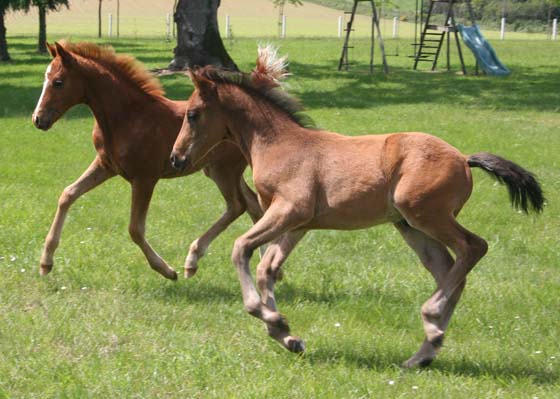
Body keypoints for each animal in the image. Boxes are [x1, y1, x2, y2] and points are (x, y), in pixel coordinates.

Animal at [32, 42, 262, 282]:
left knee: (238, 206)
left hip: (223, 170)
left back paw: (193, 260)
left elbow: (135, 229)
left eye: (58, 82)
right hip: (222, 171)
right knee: (253, 205)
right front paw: (45, 262)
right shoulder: (105, 165)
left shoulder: (145, 178)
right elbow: (67, 194)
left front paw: (166, 270)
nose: (38, 119)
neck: (126, 117)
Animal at [170, 47, 544, 368]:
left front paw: (273, 320)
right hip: (411, 226)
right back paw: (424, 352)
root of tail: (464, 158)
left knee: (473, 247)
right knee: (450, 270)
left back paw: (432, 317)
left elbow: (241, 248)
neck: (278, 144)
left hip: (424, 214)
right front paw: (286, 335)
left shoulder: (290, 211)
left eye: (193, 114)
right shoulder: (296, 225)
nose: (176, 158)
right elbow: (267, 269)